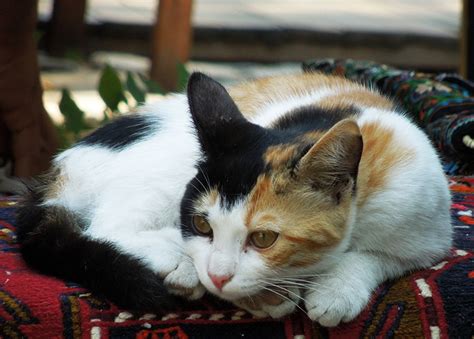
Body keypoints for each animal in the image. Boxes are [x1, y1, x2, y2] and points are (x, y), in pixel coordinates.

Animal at [15, 71, 452, 326]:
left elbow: (379, 257)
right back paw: (175, 260)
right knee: (106, 224)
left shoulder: (426, 230)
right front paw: (271, 297)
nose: (217, 275)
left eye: (264, 238)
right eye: (201, 224)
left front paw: (335, 290)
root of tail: (60, 169)